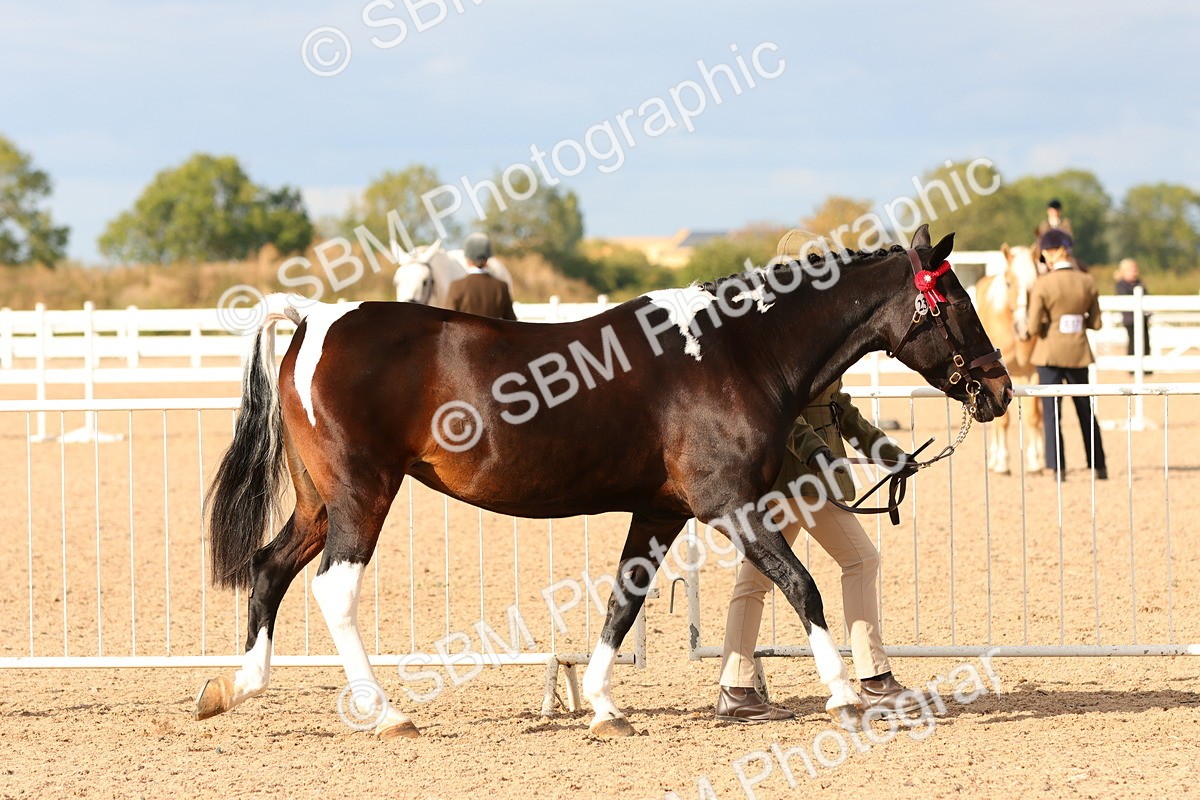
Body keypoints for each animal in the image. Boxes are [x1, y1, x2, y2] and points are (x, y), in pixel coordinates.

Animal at [193, 225, 1011, 740]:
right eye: (957, 302)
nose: (999, 390)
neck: (736, 351)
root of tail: (316, 318)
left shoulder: (660, 513)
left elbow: (624, 601)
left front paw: (603, 705)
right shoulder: (731, 505)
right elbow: (802, 587)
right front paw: (843, 696)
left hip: (319, 502)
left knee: (268, 569)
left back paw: (234, 688)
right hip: (363, 496)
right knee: (334, 590)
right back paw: (387, 712)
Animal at [975, 244, 1044, 474]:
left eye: (1035, 282)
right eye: (1008, 283)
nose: (1024, 328)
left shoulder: (1033, 373)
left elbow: (1033, 416)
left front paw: (1034, 461)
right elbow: (1002, 421)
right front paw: (1003, 462)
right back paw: (995, 459)